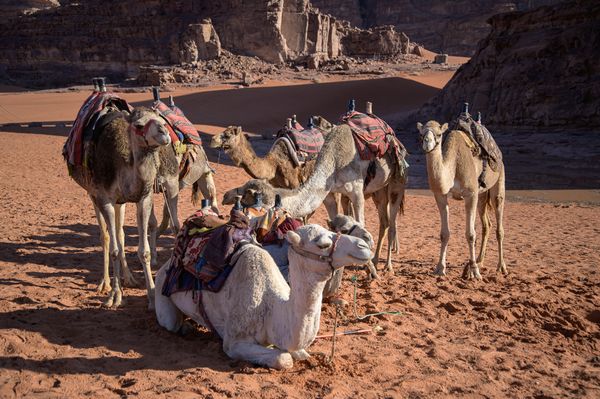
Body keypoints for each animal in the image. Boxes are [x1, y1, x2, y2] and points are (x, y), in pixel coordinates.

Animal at [67, 107, 171, 310]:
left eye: (162, 120)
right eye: (139, 125)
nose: (164, 133)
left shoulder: (143, 198)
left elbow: (143, 251)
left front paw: (152, 296)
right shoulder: (104, 198)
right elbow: (114, 249)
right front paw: (115, 296)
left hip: (119, 203)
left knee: (120, 233)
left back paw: (129, 278)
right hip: (92, 194)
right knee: (106, 236)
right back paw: (105, 284)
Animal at [155, 225, 370, 368]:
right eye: (323, 244)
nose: (364, 246)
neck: (271, 309)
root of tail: (166, 265)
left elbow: (301, 353)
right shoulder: (234, 342)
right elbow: (284, 359)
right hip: (162, 290)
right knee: (171, 322)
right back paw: (185, 327)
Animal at [418, 120, 506, 280]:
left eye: (439, 134)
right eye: (421, 134)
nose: (427, 142)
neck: (453, 166)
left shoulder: (471, 193)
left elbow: (470, 234)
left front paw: (474, 271)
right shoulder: (440, 195)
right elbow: (444, 234)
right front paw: (440, 268)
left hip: (499, 179)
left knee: (499, 225)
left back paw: (501, 267)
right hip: (482, 195)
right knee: (486, 225)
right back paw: (480, 260)